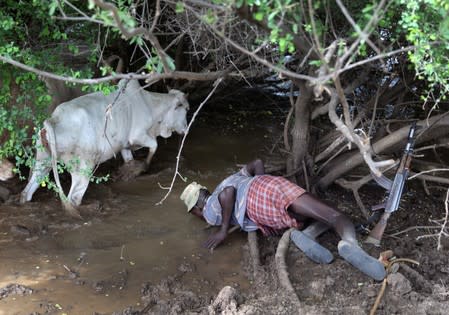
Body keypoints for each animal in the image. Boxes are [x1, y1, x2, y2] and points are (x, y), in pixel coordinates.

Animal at [20, 79, 189, 218]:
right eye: (185, 110)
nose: (186, 129)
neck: (150, 105)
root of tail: (54, 119)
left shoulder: (124, 145)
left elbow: (130, 159)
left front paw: (129, 172)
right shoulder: (138, 135)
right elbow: (154, 145)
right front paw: (143, 166)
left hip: (43, 161)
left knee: (27, 191)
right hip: (83, 168)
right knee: (73, 199)